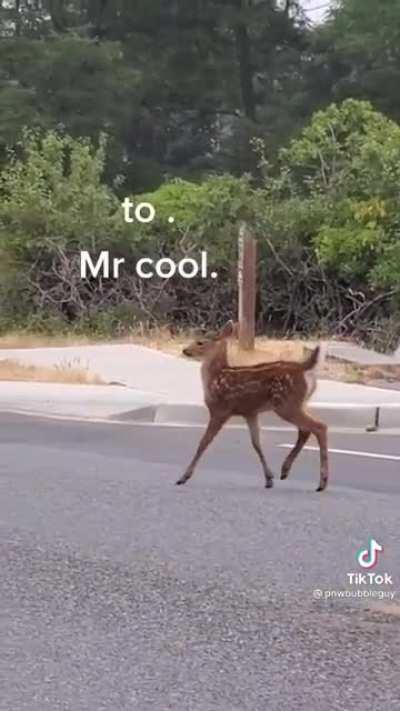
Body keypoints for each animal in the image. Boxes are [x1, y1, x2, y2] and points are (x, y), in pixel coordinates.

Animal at [176, 321, 329, 492]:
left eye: (200, 342)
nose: (185, 350)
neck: (216, 377)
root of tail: (304, 367)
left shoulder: (220, 410)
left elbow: (203, 442)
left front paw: (183, 477)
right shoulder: (250, 413)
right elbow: (256, 443)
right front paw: (269, 479)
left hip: (287, 404)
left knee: (319, 426)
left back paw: (322, 482)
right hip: (299, 403)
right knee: (305, 430)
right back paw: (285, 471)